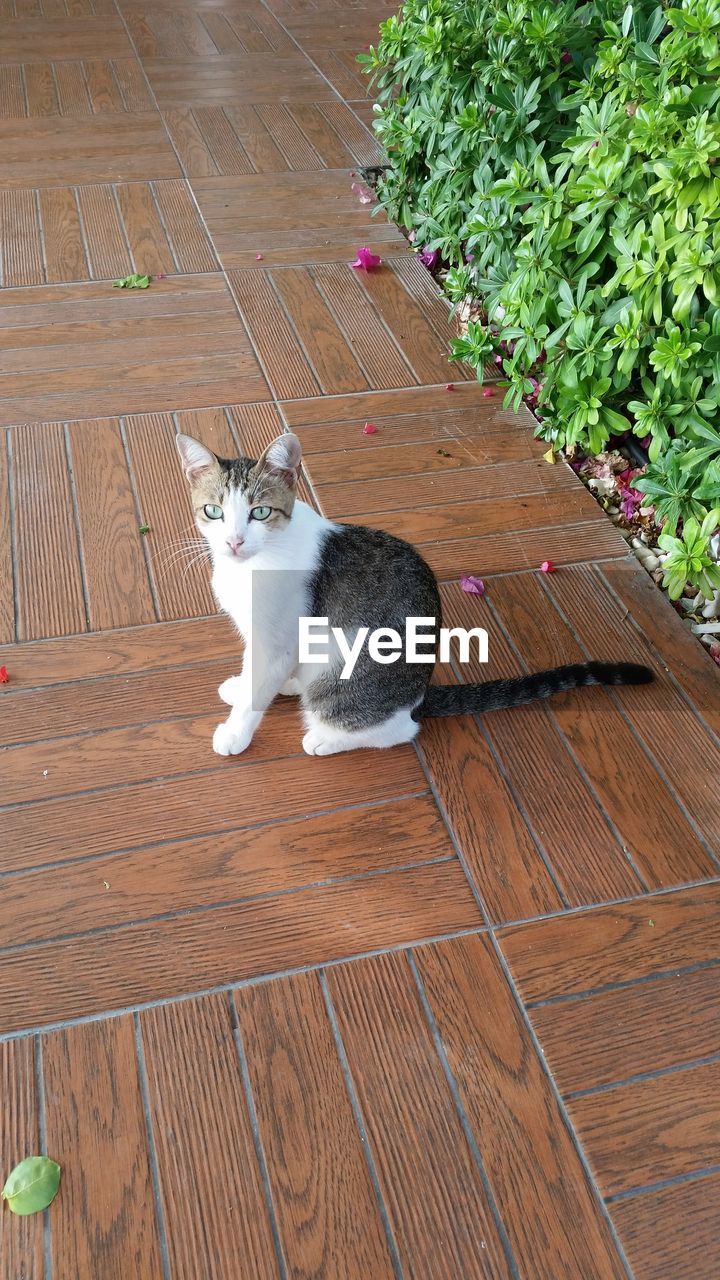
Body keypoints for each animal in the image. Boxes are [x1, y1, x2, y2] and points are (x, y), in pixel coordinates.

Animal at [175, 432, 650, 747]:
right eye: (214, 511)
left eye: (259, 512)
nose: (234, 541)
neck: (252, 564)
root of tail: (418, 693)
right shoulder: (261, 638)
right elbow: (255, 673)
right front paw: (243, 686)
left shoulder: (278, 637)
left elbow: (259, 688)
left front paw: (235, 732)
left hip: (346, 675)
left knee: (397, 728)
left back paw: (326, 737)